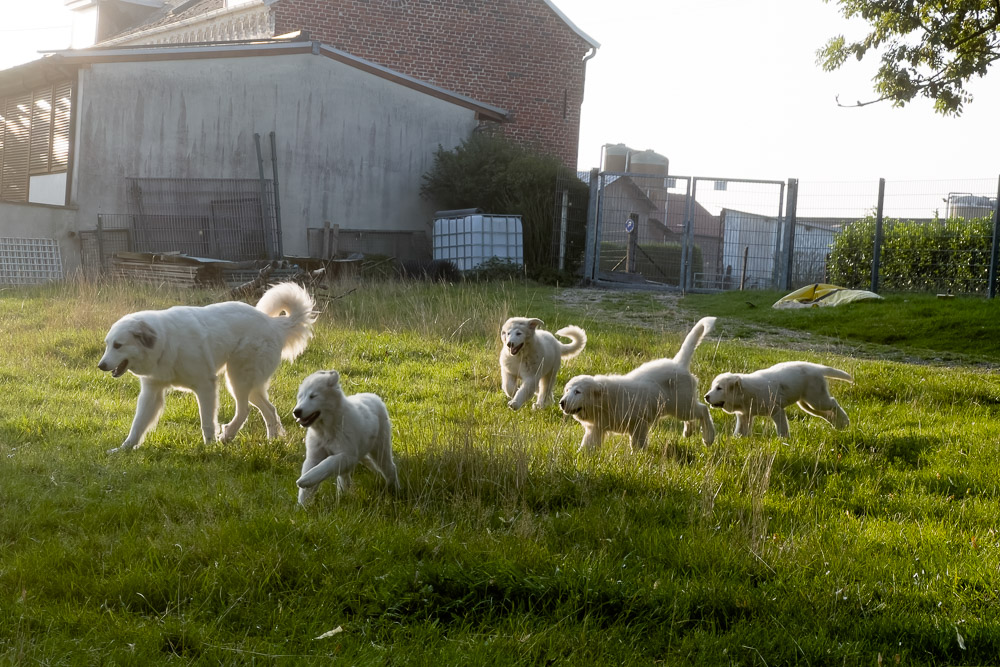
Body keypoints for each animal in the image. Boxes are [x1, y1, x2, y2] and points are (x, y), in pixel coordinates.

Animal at [96, 282, 316, 454]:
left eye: (118, 345)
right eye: (107, 344)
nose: (101, 365)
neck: (166, 342)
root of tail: (273, 324)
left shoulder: (206, 386)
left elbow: (207, 422)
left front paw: (209, 448)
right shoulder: (152, 392)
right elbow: (137, 425)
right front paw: (124, 449)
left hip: (237, 378)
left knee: (244, 410)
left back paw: (228, 436)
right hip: (249, 384)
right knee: (269, 410)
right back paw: (271, 441)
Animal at [290, 370, 398, 506]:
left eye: (313, 396)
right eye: (300, 397)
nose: (296, 412)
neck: (326, 430)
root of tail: (374, 396)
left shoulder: (348, 455)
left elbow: (328, 462)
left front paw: (305, 480)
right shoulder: (314, 457)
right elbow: (307, 488)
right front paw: (302, 506)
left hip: (380, 448)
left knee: (390, 467)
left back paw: (394, 489)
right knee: (346, 476)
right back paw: (343, 495)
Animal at [560, 316, 716, 452]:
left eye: (577, 392)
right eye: (567, 390)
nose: (562, 403)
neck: (604, 401)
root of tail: (678, 364)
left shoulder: (638, 424)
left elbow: (637, 444)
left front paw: (637, 456)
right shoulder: (596, 428)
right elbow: (587, 447)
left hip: (682, 405)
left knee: (703, 410)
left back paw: (709, 438)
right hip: (680, 406)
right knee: (693, 415)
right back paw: (688, 431)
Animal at [704, 360, 852, 438]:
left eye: (719, 388)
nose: (706, 396)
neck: (745, 393)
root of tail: (816, 368)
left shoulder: (776, 410)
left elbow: (782, 427)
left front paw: (784, 440)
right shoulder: (744, 415)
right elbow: (740, 431)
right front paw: (737, 440)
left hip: (816, 400)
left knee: (833, 403)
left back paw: (845, 421)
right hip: (806, 404)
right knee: (826, 413)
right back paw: (838, 424)